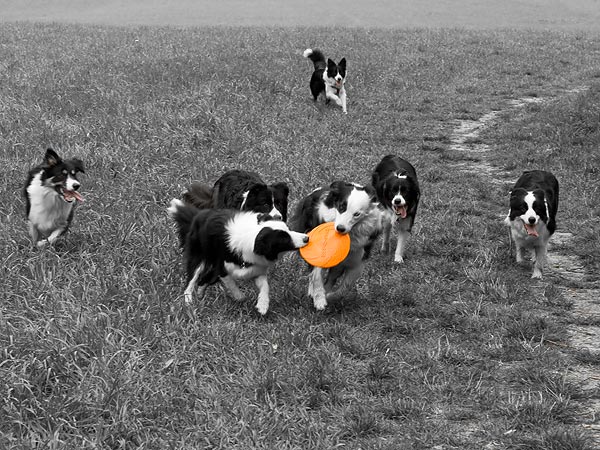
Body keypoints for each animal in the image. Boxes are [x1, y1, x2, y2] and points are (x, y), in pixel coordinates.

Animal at [168, 199, 308, 315]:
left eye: (288, 229)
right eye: (284, 238)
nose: (307, 238)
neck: (252, 238)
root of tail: (198, 214)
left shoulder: (257, 269)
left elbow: (265, 286)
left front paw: (262, 306)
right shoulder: (222, 268)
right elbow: (232, 284)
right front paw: (240, 297)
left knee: (204, 280)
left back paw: (200, 296)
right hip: (199, 258)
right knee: (191, 281)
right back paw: (189, 303)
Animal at [290, 181, 381, 310]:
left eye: (357, 214)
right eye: (342, 207)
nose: (340, 228)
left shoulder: (357, 261)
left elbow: (346, 286)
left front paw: (330, 297)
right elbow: (316, 276)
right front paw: (319, 301)